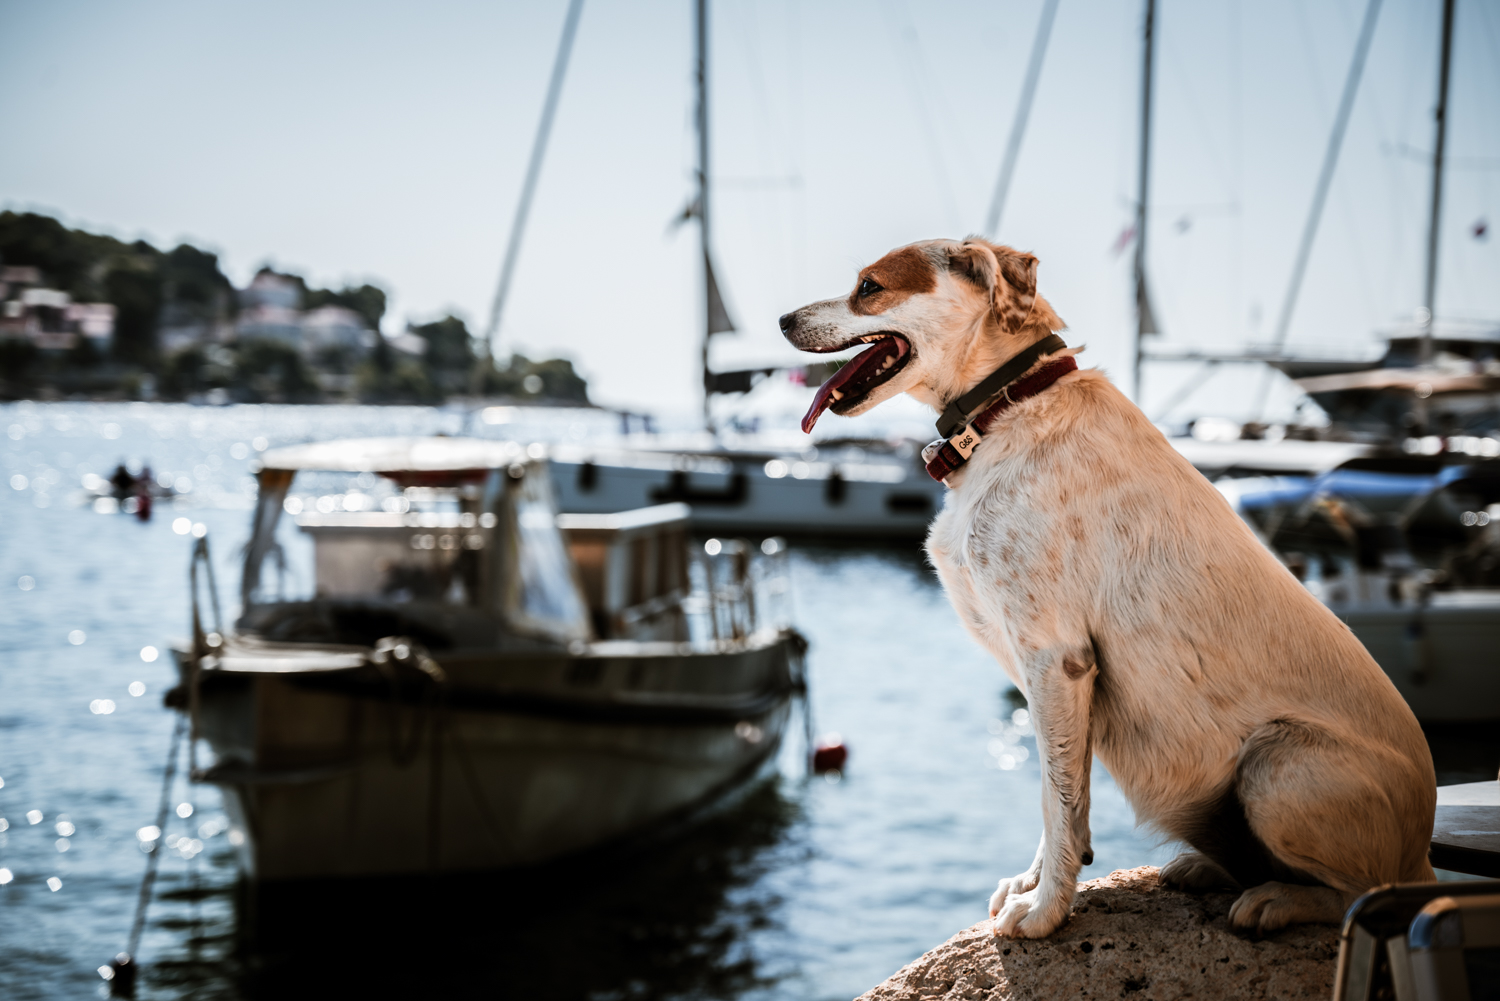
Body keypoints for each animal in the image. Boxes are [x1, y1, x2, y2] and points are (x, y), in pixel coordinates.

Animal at [780, 238, 1434, 942]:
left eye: (869, 287)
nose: (783, 320)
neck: (1006, 405)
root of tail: (1422, 852)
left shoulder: (1057, 658)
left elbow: (1059, 802)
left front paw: (1044, 913)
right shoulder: (1050, 681)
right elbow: (1061, 794)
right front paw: (1037, 886)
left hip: (1276, 764)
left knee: (1366, 894)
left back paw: (1276, 901)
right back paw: (1207, 868)